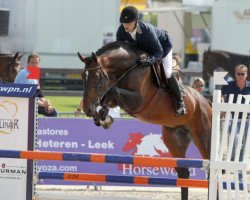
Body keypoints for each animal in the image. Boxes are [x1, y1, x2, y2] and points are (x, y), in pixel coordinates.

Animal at [77, 41, 211, 200]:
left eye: (97, 77)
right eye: (82, 76)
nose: (87, 109)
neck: (127, 69)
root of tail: (205, 102)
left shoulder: (137, 101)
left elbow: (112, 92)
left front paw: (103, 115)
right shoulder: (118, 99)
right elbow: (108, 96)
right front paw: (102, 118)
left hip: (203, 137)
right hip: (175, 139)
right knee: (183, 172)